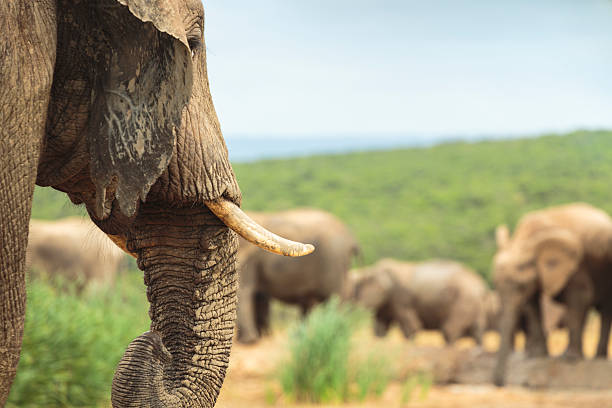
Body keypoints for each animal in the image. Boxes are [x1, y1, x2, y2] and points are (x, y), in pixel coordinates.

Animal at [234, 207, 358, 344]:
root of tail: (351, 239)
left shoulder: (250, 257)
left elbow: (245, 290)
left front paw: (248, 342)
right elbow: (259, 296)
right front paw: (263, 337)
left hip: (332, 260)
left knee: (335, 297)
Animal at [350, 258, 488, 344]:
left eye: (357, 288)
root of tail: (481, 286)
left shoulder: (400, 297)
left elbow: (411, 327)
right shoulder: (386, 304)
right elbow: (380, 329)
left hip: (463, 300)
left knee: (450, 330)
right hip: (475, 305)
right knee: (477, 331)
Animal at [490, 203, 612, 386]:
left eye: (520, 286)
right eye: (495, 284)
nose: (499, 383)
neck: (526, 240)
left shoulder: (576, 266)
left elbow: (581, 296)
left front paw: (570, 360)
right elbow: (533, 304)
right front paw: (537, 356)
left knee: (605, 309)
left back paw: (595, 358)